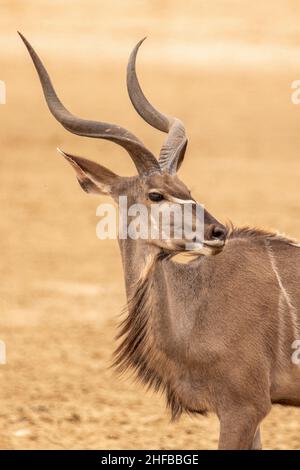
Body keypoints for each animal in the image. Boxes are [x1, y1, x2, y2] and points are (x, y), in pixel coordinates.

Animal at [19, 32, 300, 448]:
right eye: (157, 194)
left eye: (187, 190)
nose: (218, 232)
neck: (193, 305)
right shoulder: (244, 412)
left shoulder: (245, 406)